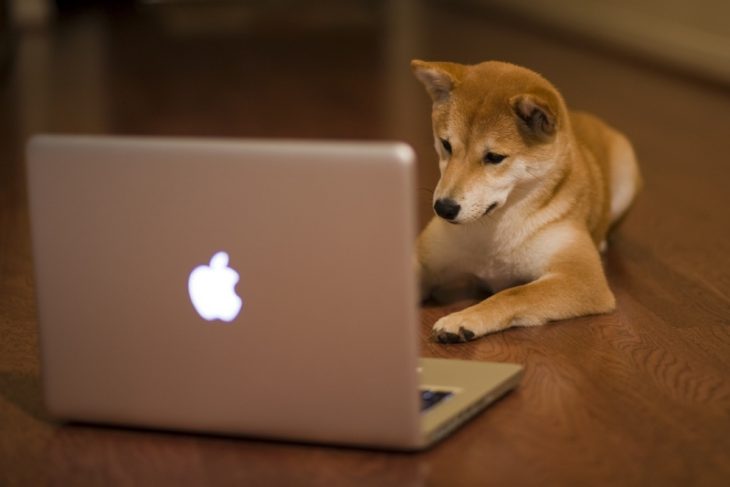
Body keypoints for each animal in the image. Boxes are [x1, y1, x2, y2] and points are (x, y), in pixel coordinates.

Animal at [412, 60, 640, 344]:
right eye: (446, 144)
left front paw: (463, 319)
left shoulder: (581, 279)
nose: (443, 208)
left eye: (494, 157)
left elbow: (513, 294)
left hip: (626, 171)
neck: (492, 229)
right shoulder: (427, 259)